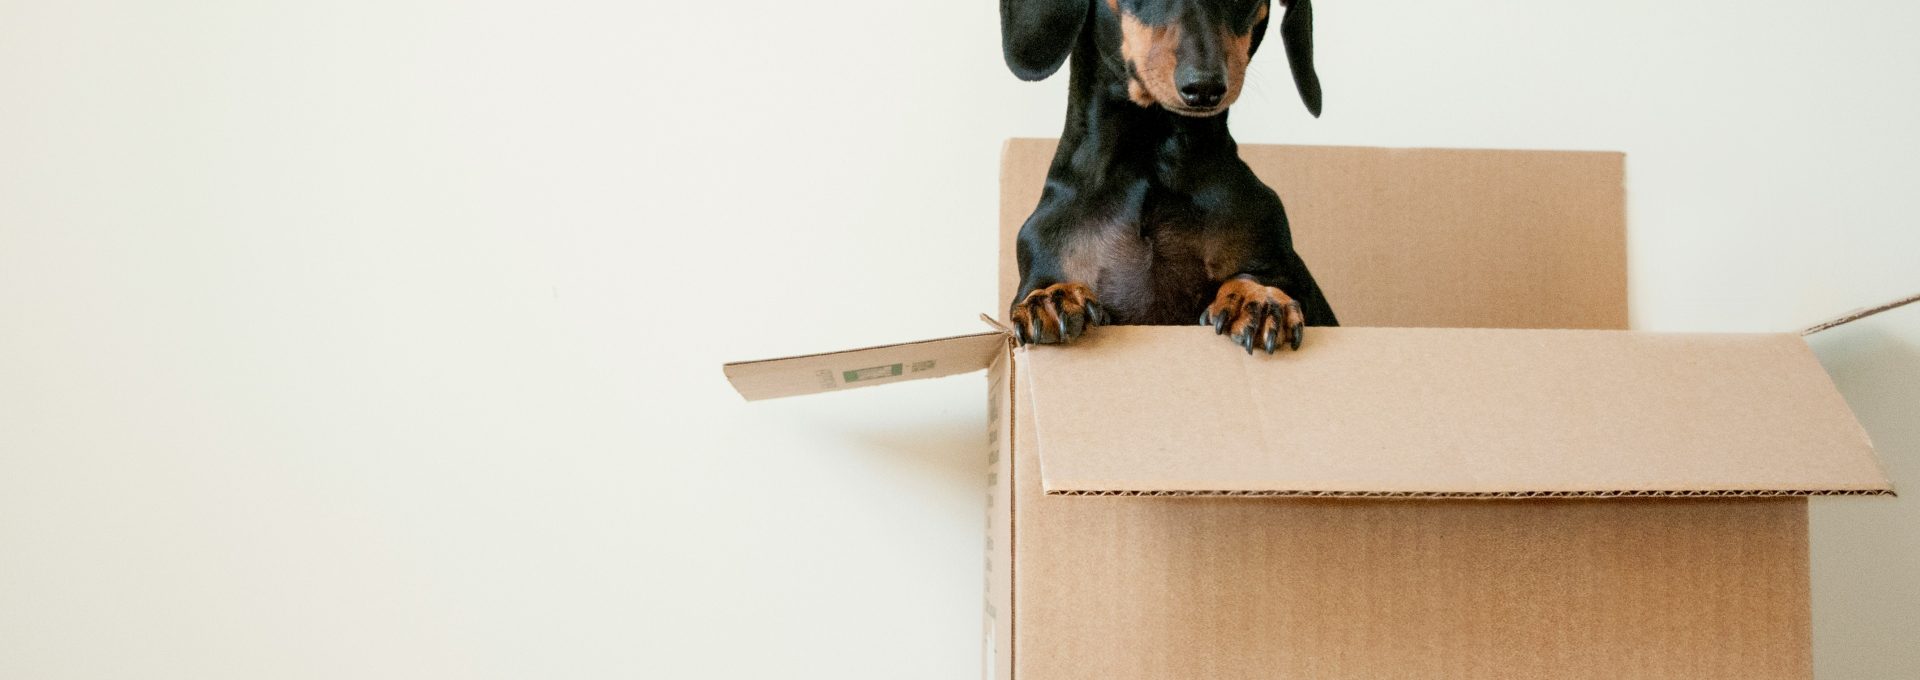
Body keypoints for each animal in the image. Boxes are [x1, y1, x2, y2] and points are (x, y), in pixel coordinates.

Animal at [1006, 0, 1336, 351]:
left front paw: (1257, 297)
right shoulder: (1043, 253)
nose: (1204, 88)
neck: (1151, 159)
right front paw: (1052, 297)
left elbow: (1260, 278)